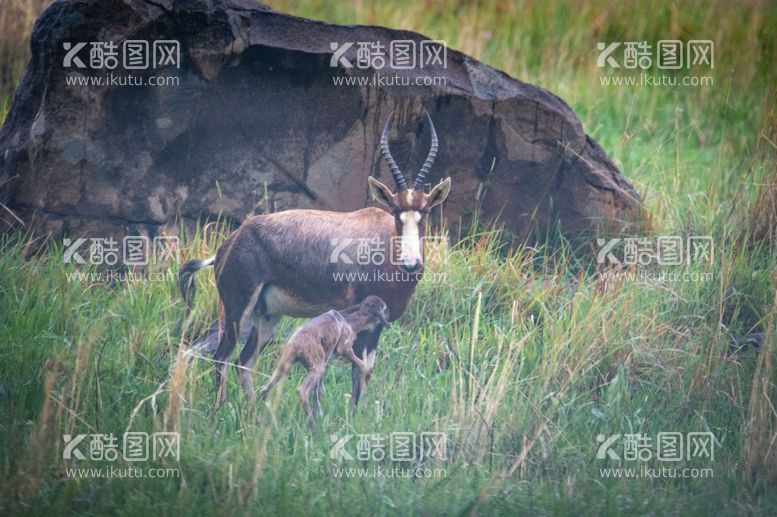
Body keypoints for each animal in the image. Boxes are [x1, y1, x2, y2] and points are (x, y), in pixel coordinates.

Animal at [260, 294, 392, 432]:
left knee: (264, 389)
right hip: (317, 367)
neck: (351, 321)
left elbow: (319, 392)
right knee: (302, 391)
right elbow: (363, 365)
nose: (390, 316)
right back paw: (314, 429)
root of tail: (295, 344)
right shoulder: (344, 349)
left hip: (285, 366)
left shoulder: (326, 362)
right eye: (384, 308)